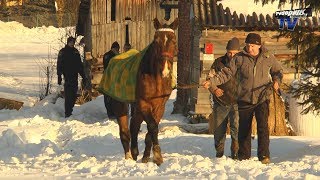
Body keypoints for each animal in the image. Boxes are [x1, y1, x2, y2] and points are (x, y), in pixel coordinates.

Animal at [107, 17, 178, 165]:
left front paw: (147, 156)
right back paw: (129, 157)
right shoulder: (144, 104)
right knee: (125, 132)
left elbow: (151, 130)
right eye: (155, 40)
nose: (165, 70)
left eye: (174, 40)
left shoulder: (159, 106)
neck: (156, 78)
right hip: (120, 105)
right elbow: (152, 126)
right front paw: (157, 155)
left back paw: (135, 153)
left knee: (134, 126)